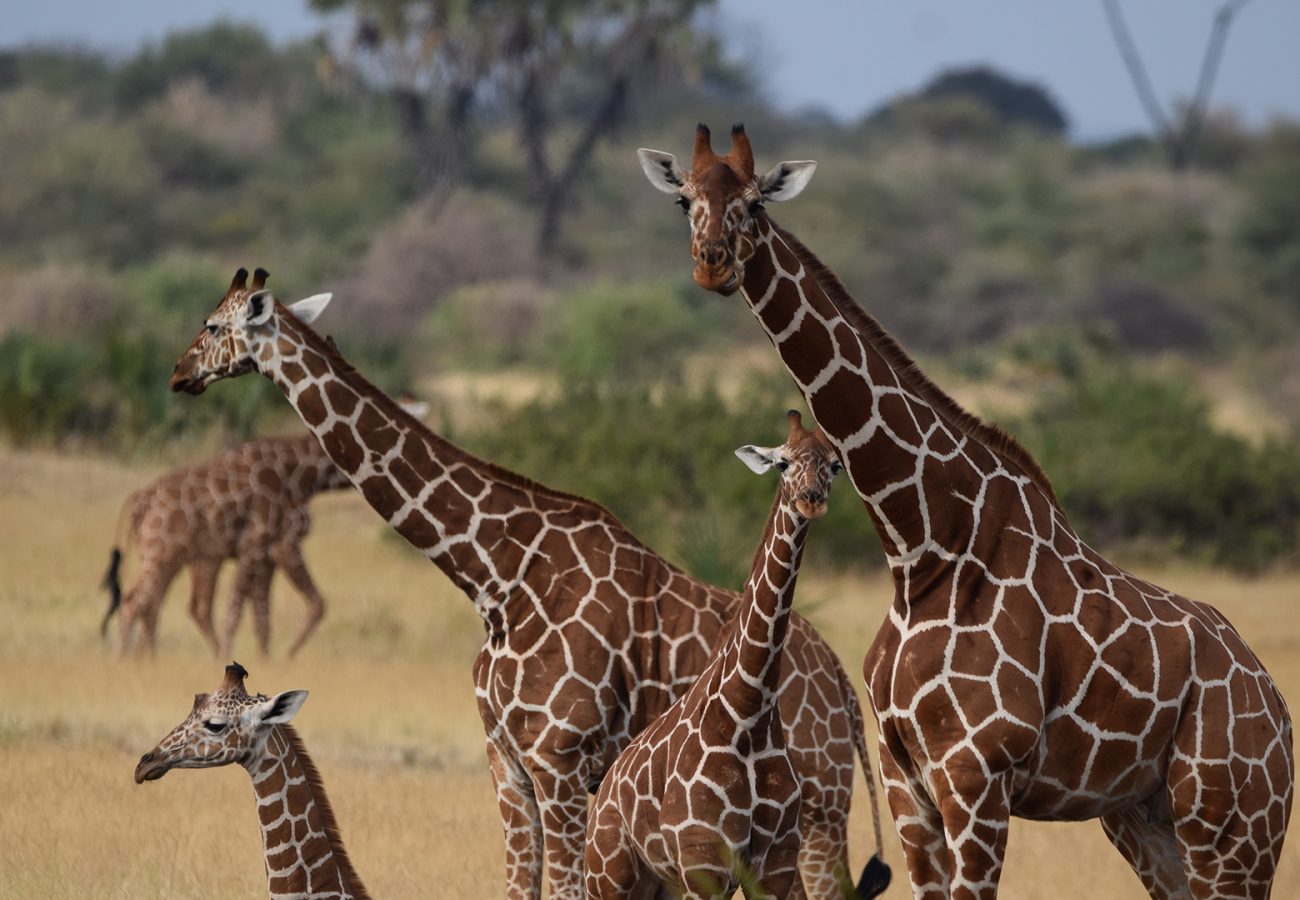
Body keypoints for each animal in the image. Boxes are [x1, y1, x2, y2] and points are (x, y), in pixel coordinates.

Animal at [102, 427, 351, 659]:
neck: (301, 475)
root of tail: (140, 499)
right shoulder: (265, 544)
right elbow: (238, 609)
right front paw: (252, 656)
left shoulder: (265, 551)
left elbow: (262, 614)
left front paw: (264, 659)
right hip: (164, 552)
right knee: (137, 602)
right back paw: (123, 660)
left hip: (169, 556)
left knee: (158, 604)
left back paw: (148, 659)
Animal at [587, 410, 890, 900]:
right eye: (783, 463)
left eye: (834, 465)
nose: (811, 500)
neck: (747, 713)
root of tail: (605, 788)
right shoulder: (703, 864)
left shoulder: (774, 865)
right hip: (609, 872)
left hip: (659, 883)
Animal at [637, 124, 1293, 899]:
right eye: (685, 201)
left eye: (755, 202)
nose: (713, 265)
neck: (921, 548)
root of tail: (1276, 704)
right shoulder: (908, 783)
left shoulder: (978, 776)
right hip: (1144, 818)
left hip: (1232, 826)